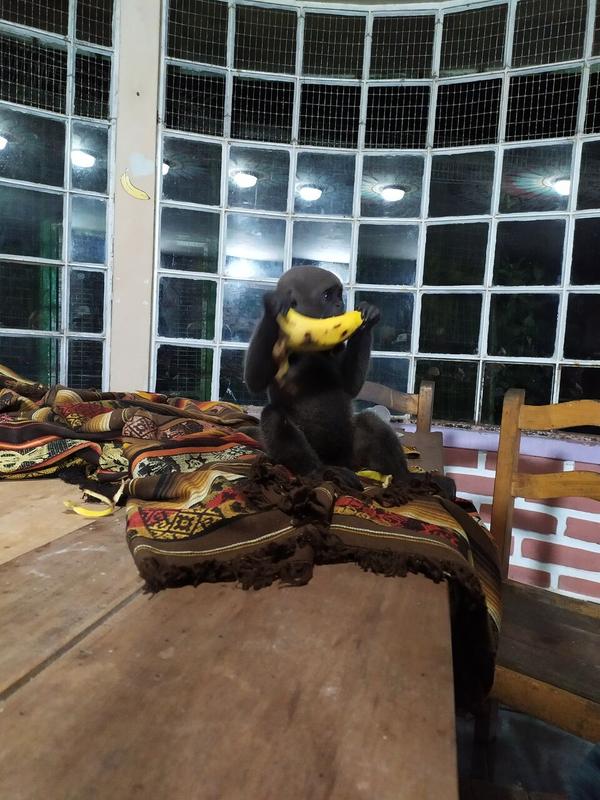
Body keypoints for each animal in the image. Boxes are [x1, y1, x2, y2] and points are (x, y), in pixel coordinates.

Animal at [244, 265, 455, 498]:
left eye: (339, 295)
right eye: (327, 295)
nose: (340, 305)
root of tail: (339, 461)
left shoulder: (336, 345)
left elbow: (350, 385)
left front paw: (368, 319)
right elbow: (255, 380)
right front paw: (272, 309)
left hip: (351, 453)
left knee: (369, 421)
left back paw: (406, 478)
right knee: (273, 416)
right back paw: (321, 472)